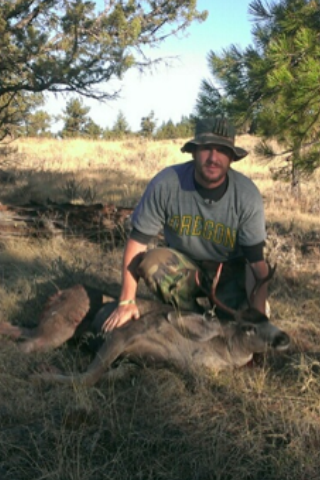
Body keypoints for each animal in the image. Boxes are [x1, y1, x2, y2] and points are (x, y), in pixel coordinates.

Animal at [30, 262, 290, 386]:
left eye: (269, 320)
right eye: (249, 328)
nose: (284, 337)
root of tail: (55, 294)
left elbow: (115, 373)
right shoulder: (125, 332)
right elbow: (87, 378)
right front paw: (42, 376)